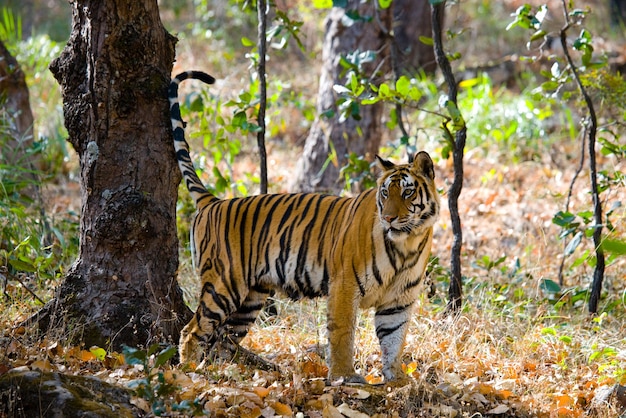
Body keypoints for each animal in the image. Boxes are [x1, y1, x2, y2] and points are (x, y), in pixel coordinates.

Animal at [167, 70, 438, 384]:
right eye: (385, 193)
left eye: (406, 192)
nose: (390, 218)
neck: (407, 242)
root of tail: (214, 202)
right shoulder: (344, 286)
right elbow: (343, 333)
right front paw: (346, 377)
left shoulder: (398, 301)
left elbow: (394, 340)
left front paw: (398, 380)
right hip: (224, 285)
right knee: (193, 330)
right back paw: (189, 372)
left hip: (250, 299)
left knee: (224, 338)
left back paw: (225, 374)